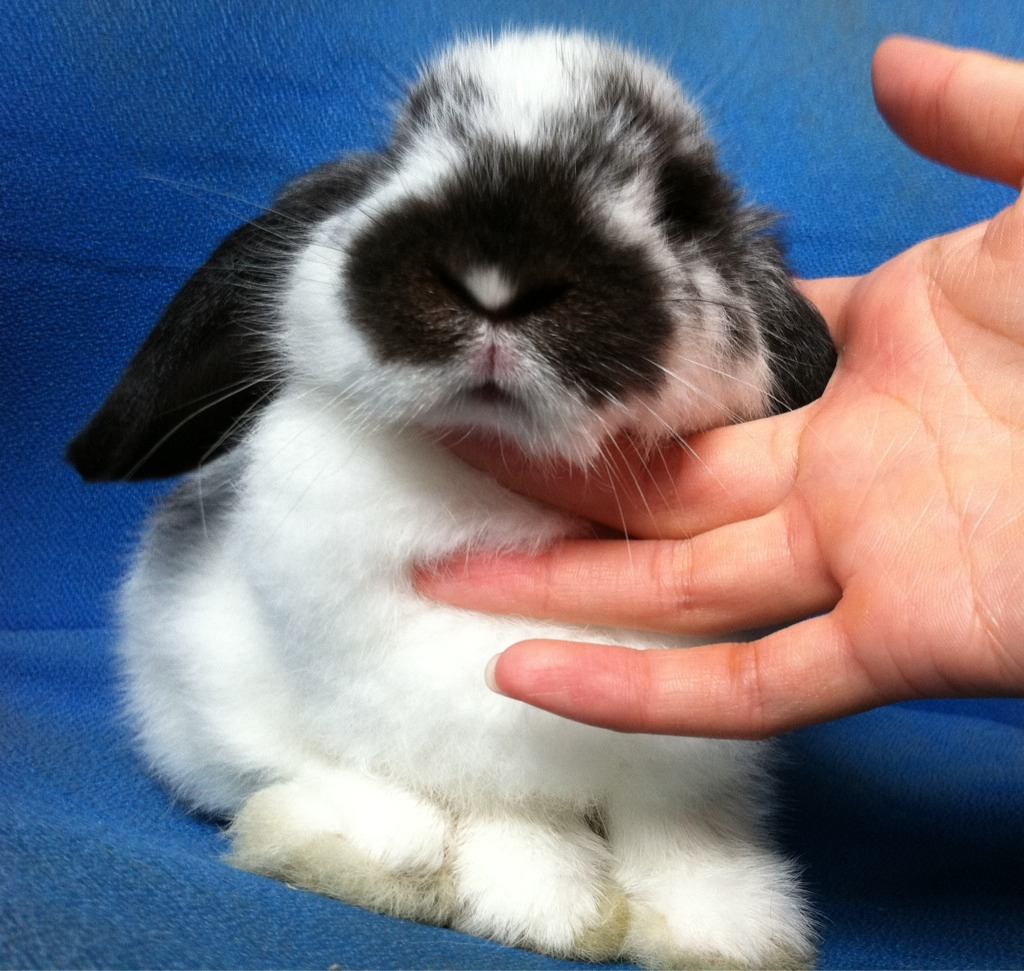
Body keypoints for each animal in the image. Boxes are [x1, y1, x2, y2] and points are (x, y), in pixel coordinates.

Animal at [68, 30, 836, 970]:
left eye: (683, 203)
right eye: (398, 153)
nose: (497, 272)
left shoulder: (681, 757)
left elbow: (677, 831)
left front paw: (723, 928)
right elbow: (490, 809)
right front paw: (547, 907)